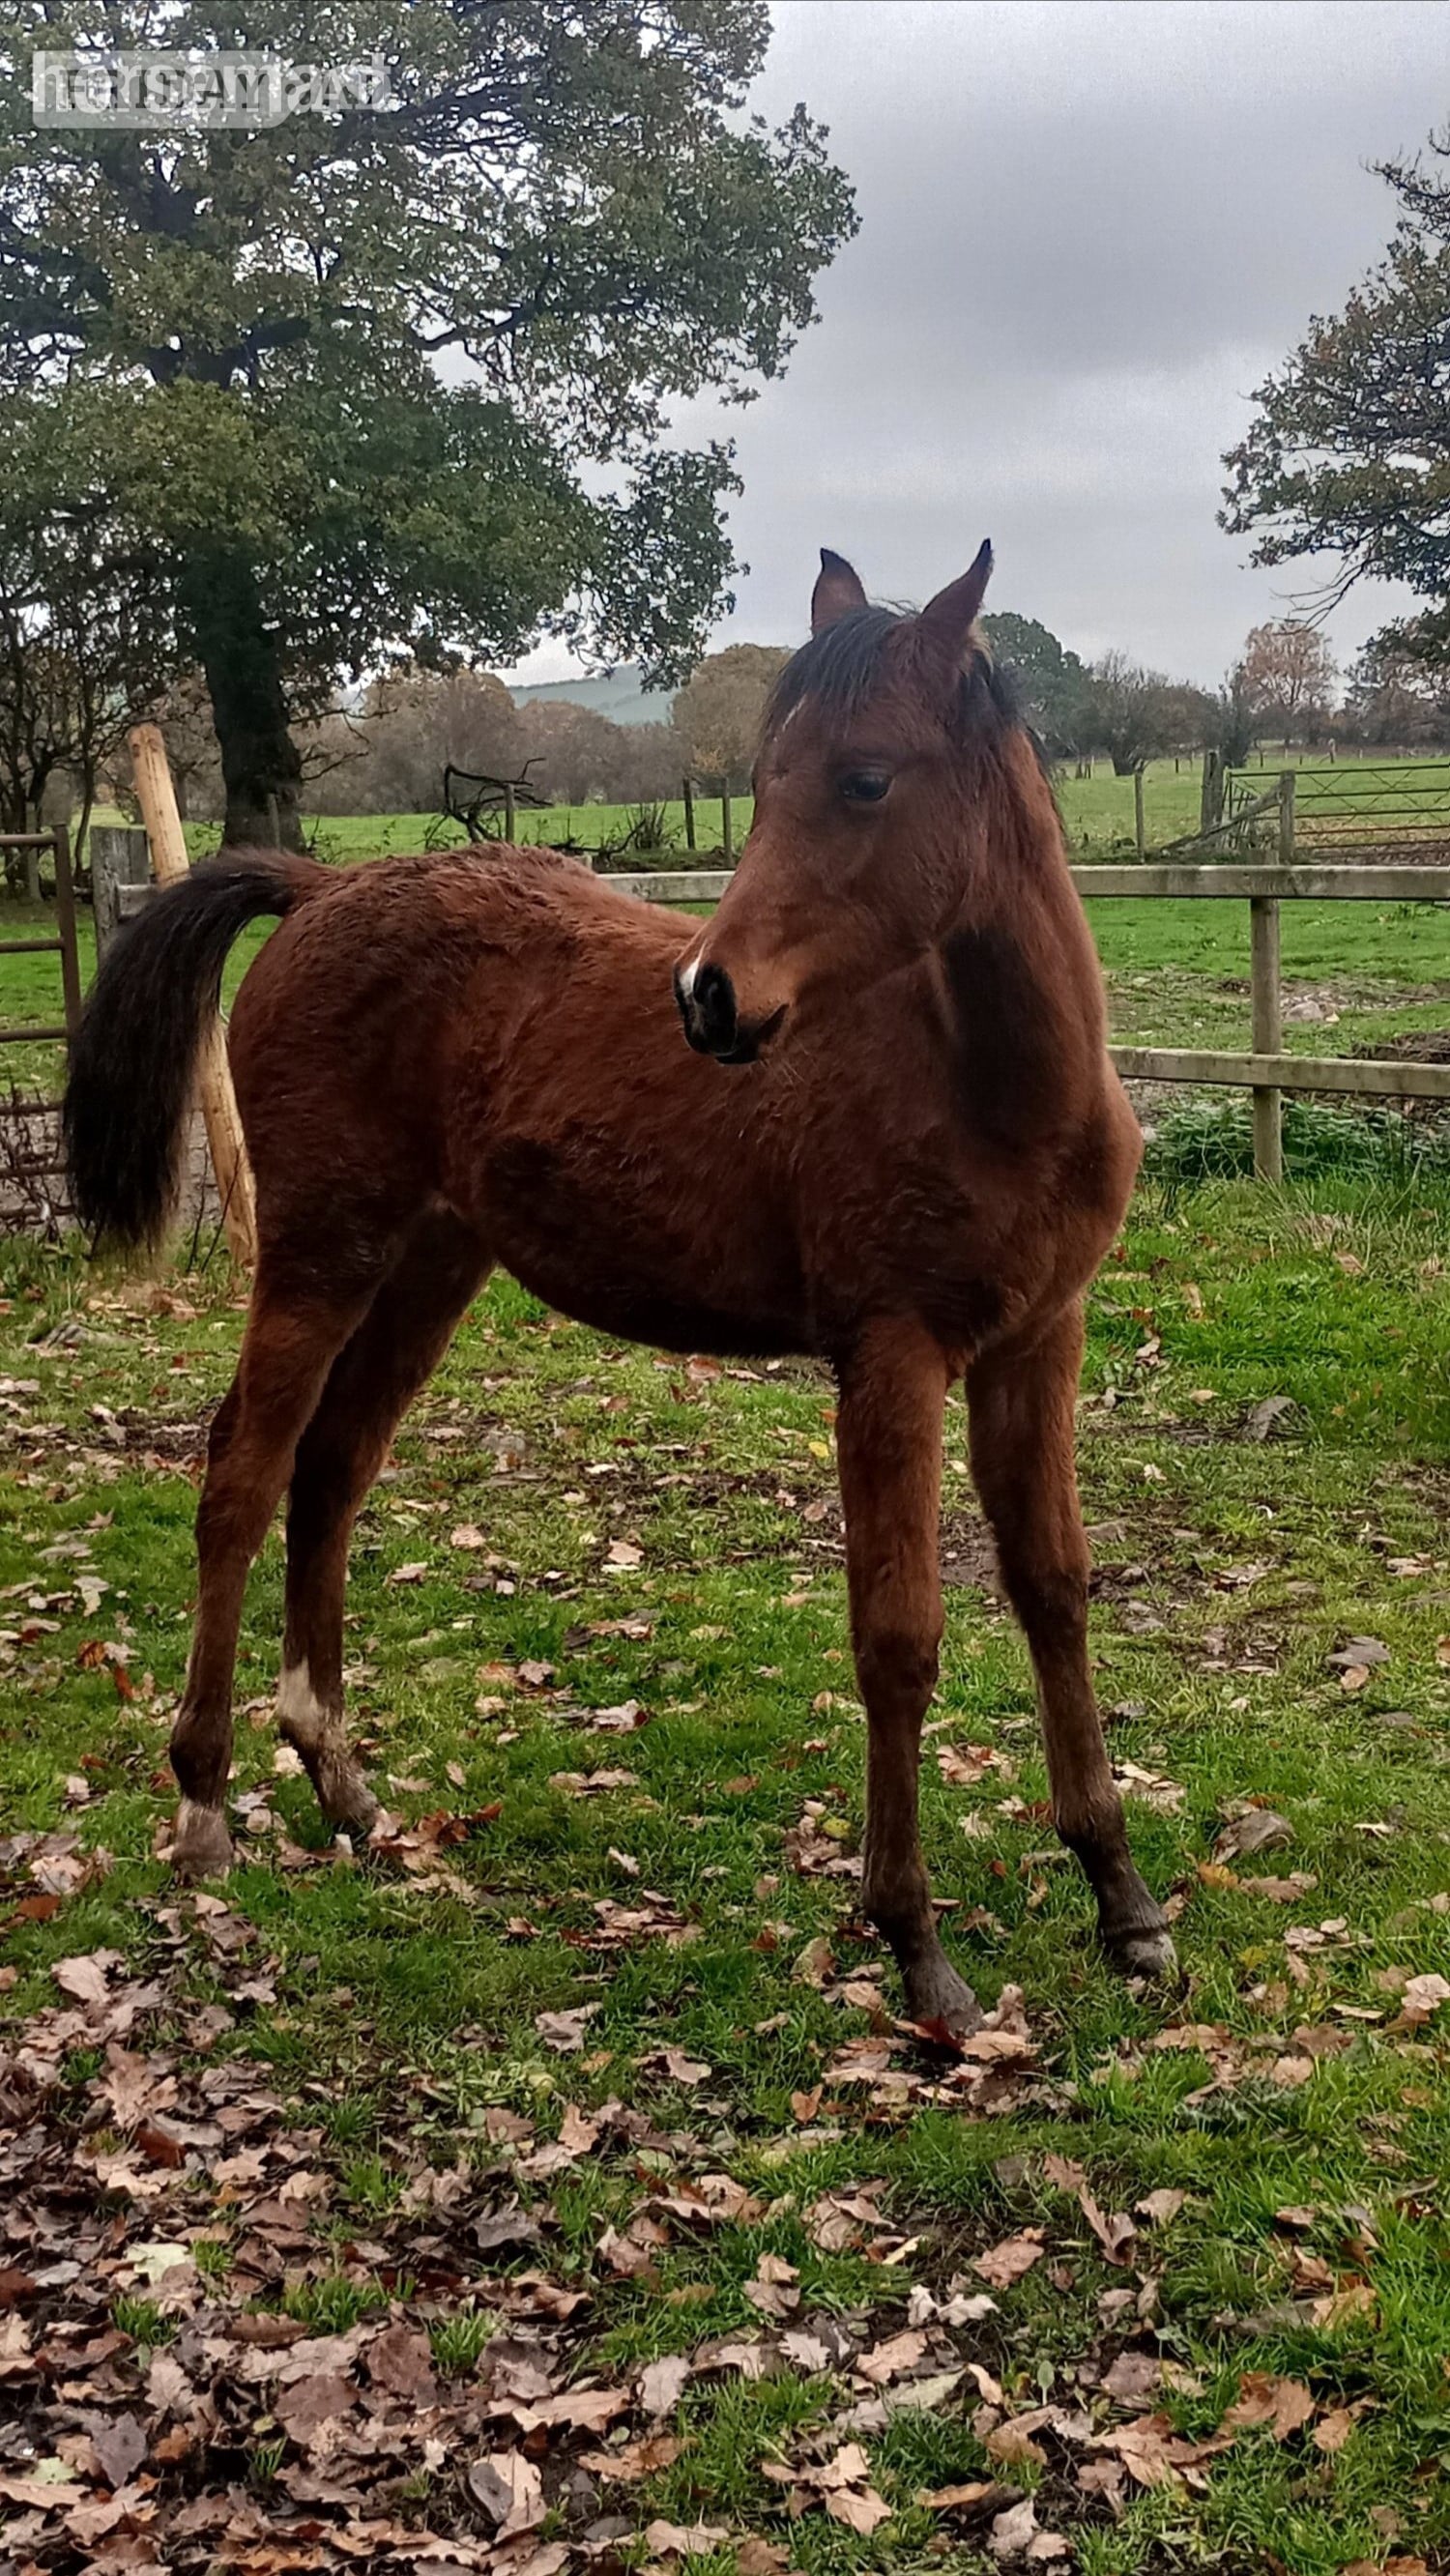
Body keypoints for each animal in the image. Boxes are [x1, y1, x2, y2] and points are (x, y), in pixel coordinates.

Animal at [63, 542, 1173, 2039]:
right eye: (765, 775)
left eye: (866, 778)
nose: (709, 999)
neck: (991, 1088)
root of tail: (318, 888)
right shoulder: (890, 1358)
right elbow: (899, 1635)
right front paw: (915, 1946)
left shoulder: (1036, 1342)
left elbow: (1054, 1587)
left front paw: (1123, 1903)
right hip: (318, 1253)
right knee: (241, 1474)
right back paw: (201, 1805)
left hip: (430, 1262)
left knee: (333, 1472)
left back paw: (340, 1781)